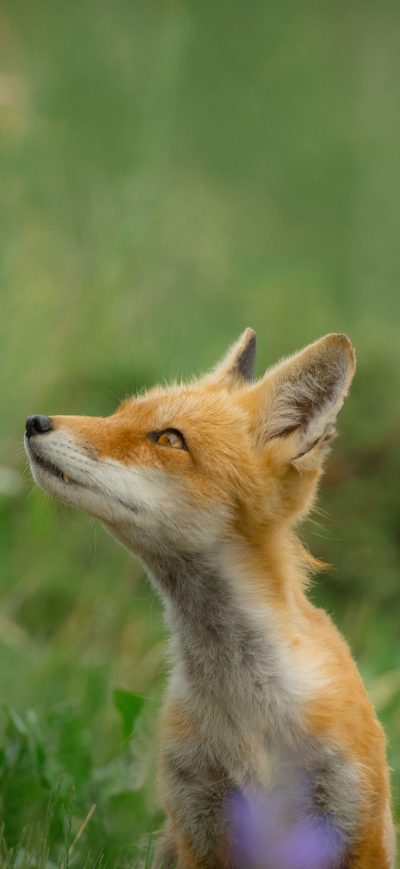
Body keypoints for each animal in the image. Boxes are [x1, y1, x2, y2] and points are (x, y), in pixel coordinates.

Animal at [25, 330, 395, 868]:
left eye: (168, 439)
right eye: (119, 414)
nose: (34, 422)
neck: (245, 712)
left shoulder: (355, 822)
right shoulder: (197, 820)